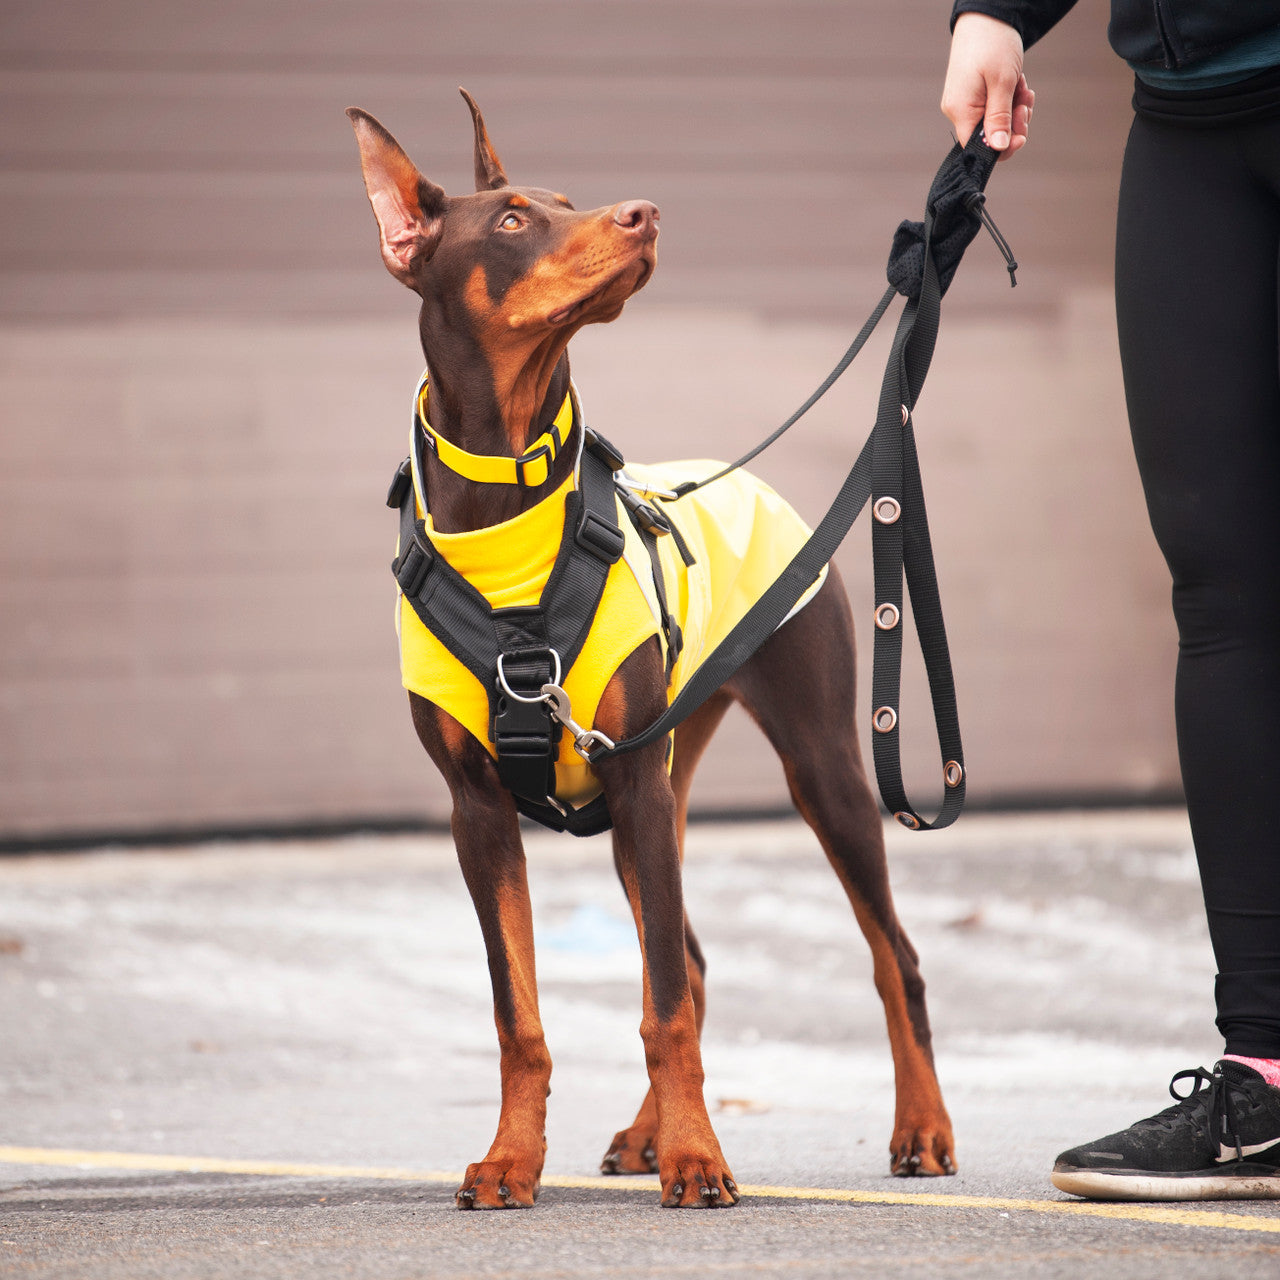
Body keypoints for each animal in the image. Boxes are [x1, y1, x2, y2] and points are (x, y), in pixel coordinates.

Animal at [345, 90, 957, 1208]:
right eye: (511, 220)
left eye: (567, 198)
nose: (643, 213)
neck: (507, 504)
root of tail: (743, 475)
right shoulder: (479, 810)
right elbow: (521, 1013)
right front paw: (511, 1159)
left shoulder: (631, 783)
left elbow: (662, 1002)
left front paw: (697, 1158)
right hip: (661, 788)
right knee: (693, 956)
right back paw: (640, 1133)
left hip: (817, 767)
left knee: (892, 955)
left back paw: (920, 1126)